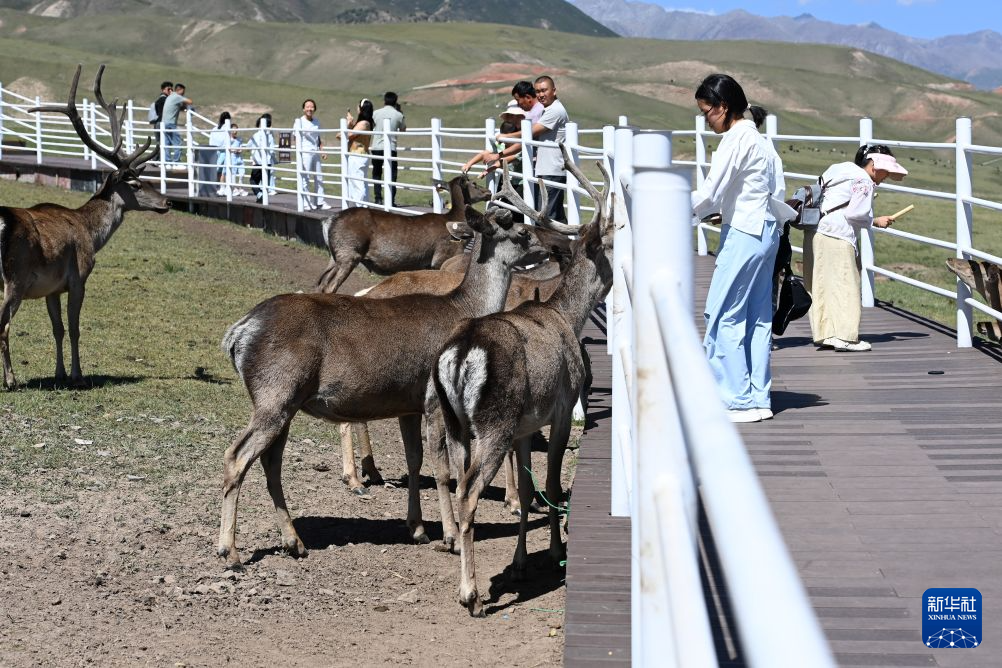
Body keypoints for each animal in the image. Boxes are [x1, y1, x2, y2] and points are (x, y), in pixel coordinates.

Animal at [0, 65, 169, 390]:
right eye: (135, 184)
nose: (167, 202)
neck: (92, 234)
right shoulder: (79, 277)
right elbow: (75, 328)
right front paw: (77, 376)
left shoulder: (52, 288)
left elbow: (58, 329)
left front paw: (59, 373)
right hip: (14, 278)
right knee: (2, 326)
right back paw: (11, 380)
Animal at [217, 204, 549, 569]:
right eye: (521, 230)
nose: (549, 248)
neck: (464, 308)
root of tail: (237, 334)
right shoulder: (434, 398)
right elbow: (443, 468)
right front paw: (449, 536)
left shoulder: (409, 404)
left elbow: (414, 460)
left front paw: (417, 528)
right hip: (274, 393)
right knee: (236, 455)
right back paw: (230, 551)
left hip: (285, 403)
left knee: (270, 462)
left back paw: (295, 542)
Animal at [315, 174, 492, 294]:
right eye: (474, 183)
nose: (489, 192)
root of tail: (327, 221)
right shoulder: (442, 257)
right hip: (349, 253)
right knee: (330, 287)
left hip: (334, 257)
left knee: (321, 284)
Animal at [432, 146, 614, 616]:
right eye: (611, 243)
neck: (566, 315)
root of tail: (460, 355)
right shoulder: (561, 410)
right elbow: (550, 484)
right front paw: (553, 552)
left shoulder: (523, 428)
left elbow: (529, 492)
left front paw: (518, 564)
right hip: (493, 422)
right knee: (470, 491)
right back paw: (472, 595)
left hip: (458, 422)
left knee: (458, 482)